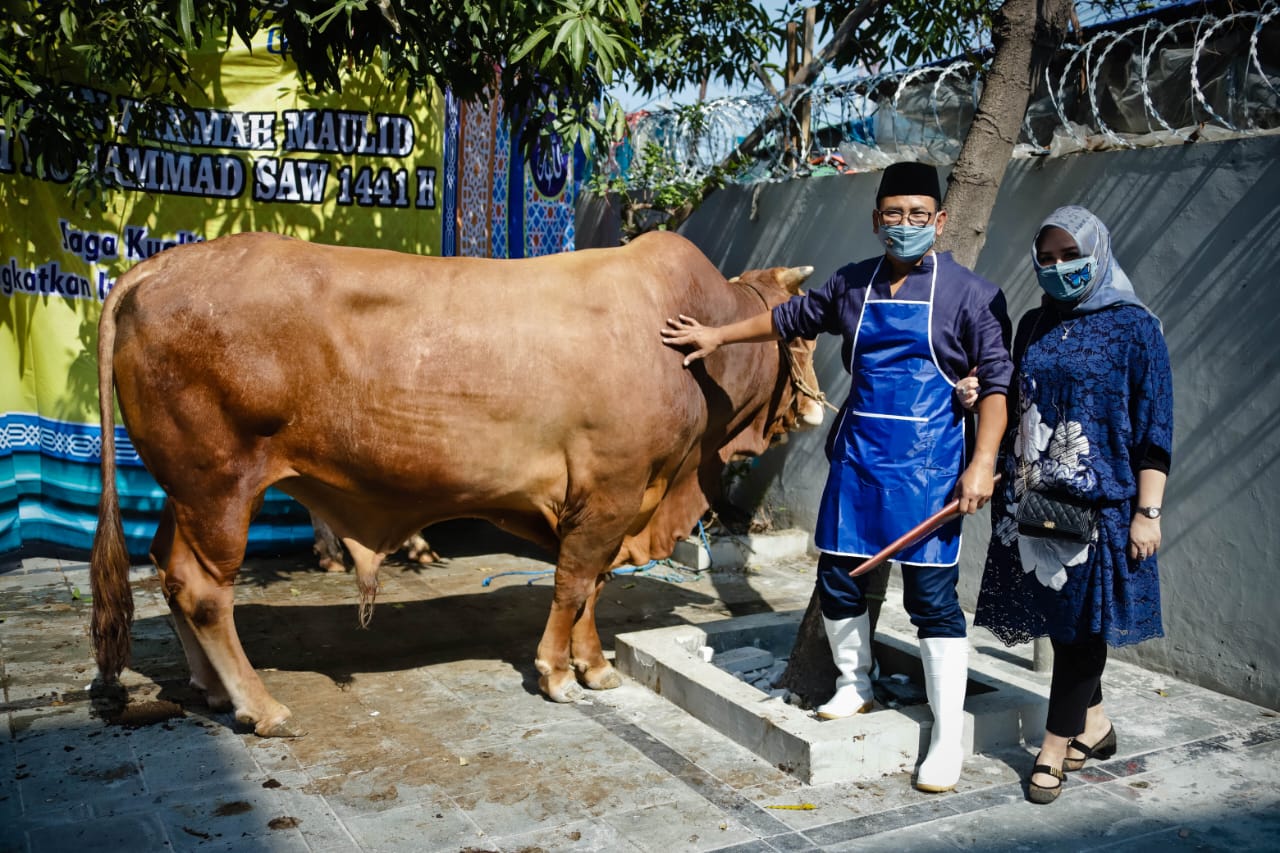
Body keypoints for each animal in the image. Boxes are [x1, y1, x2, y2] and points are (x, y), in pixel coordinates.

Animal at [92, 229, 829, 732]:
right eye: (806, 332)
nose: (819, 405)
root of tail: (157, 265)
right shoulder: (609, 493)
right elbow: (573, 585)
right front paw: (558, 674)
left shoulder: (620, 503)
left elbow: (594, 588)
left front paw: (595, 666)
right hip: (220, 483)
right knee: (203, 588)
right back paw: (259, 704)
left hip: (183, 489)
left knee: (169, 569)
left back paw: (213, 688)